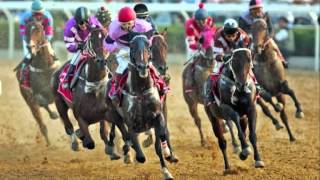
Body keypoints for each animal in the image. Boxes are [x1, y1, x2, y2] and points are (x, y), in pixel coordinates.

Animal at [51, 27, 126, 160]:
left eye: (107, 39)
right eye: (91, 39)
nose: (101, 60)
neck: (93, 85)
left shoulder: (104, 111)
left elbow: (104, 131)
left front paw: (111, 150)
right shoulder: (79, 115)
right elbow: (90, 142)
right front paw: (83, 138)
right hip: (59, 103)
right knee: (68, 126)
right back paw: (75, 143)